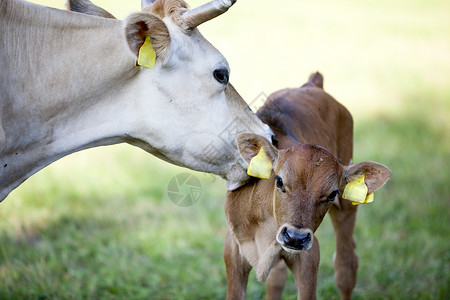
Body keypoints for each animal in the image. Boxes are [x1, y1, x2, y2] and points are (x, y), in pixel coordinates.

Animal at [225, 73, 390, 300]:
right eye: (279, 181)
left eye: (332, 194)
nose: (295, 238)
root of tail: (313, 83)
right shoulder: (233, 247)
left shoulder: (309, 255)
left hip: (347, 209)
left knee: (346, 266)